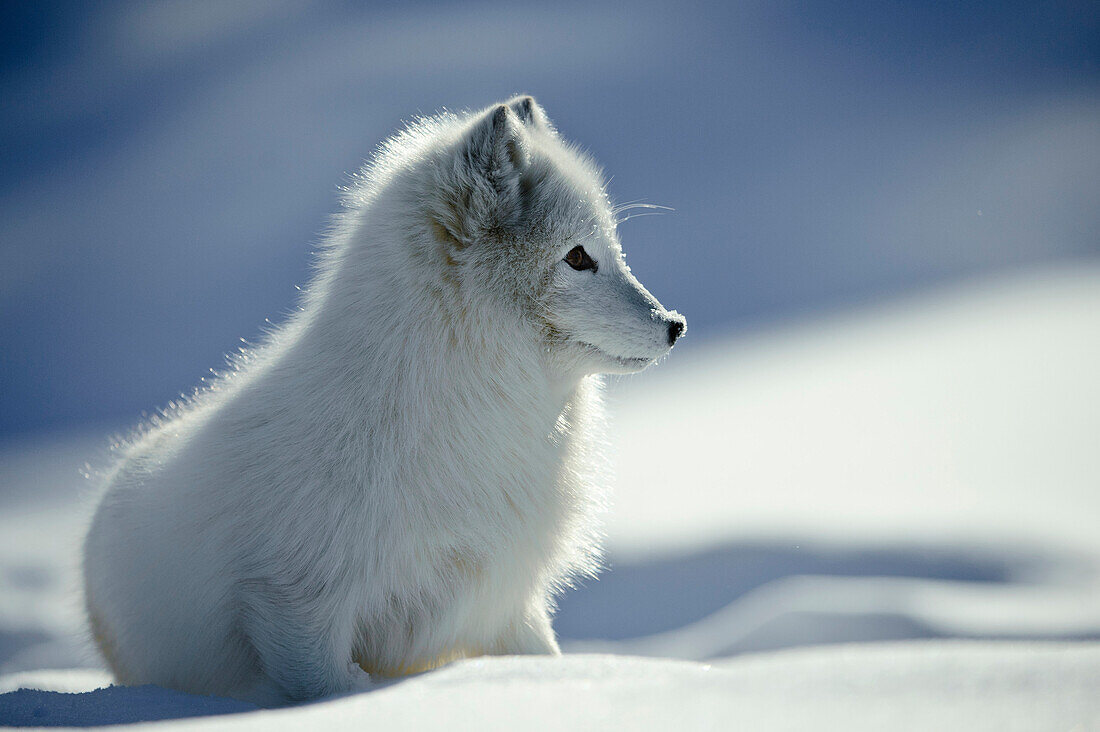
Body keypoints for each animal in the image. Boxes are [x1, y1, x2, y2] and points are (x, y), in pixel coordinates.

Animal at [81, 96, 682, 704]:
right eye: (578, 258)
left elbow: (546, 658)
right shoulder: (297, 605)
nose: (675, 325)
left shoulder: (504, 603)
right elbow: (328, 690)